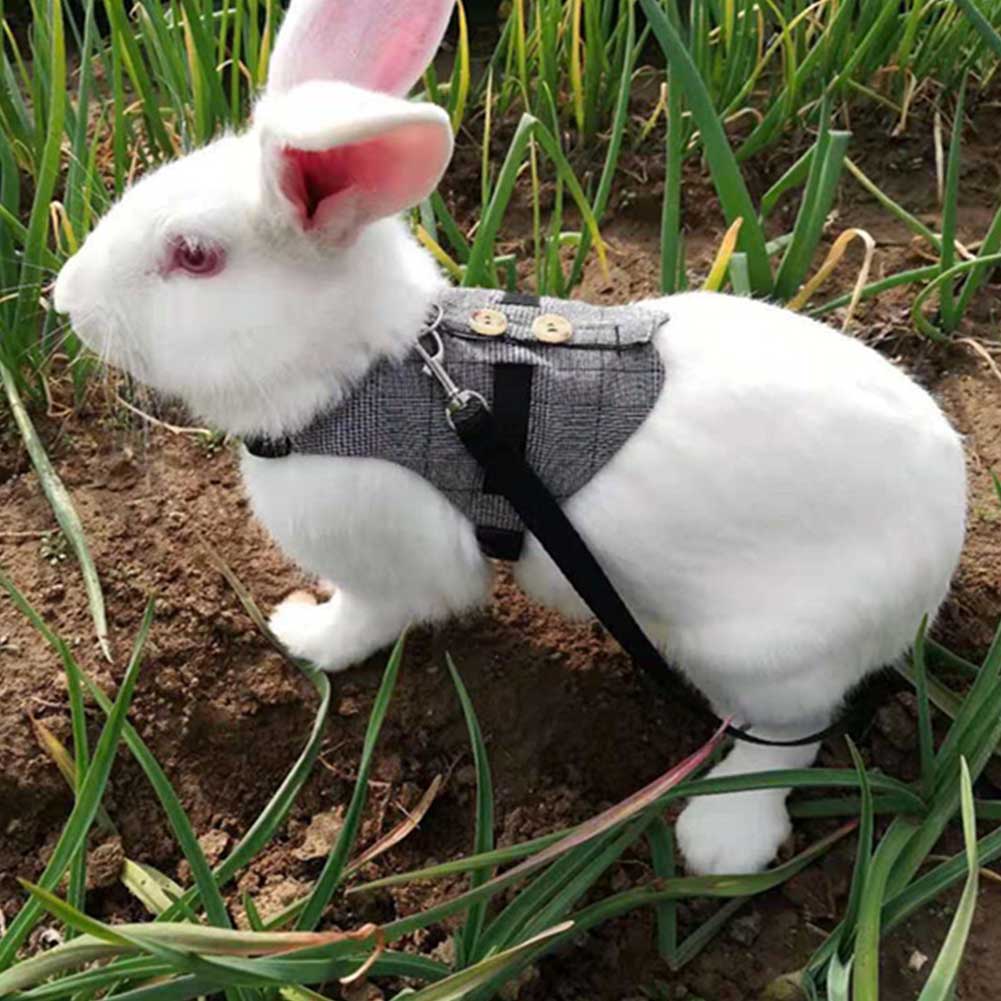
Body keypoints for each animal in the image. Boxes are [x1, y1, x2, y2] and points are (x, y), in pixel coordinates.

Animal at [53, 0, 967, 877]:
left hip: (767, 655)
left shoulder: (391, 564)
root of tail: (944, 534)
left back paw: (720, 841)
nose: (65, 300)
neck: (369, 369)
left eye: (194, 256)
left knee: (782, 736)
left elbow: (370, 616)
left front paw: (304, 636)